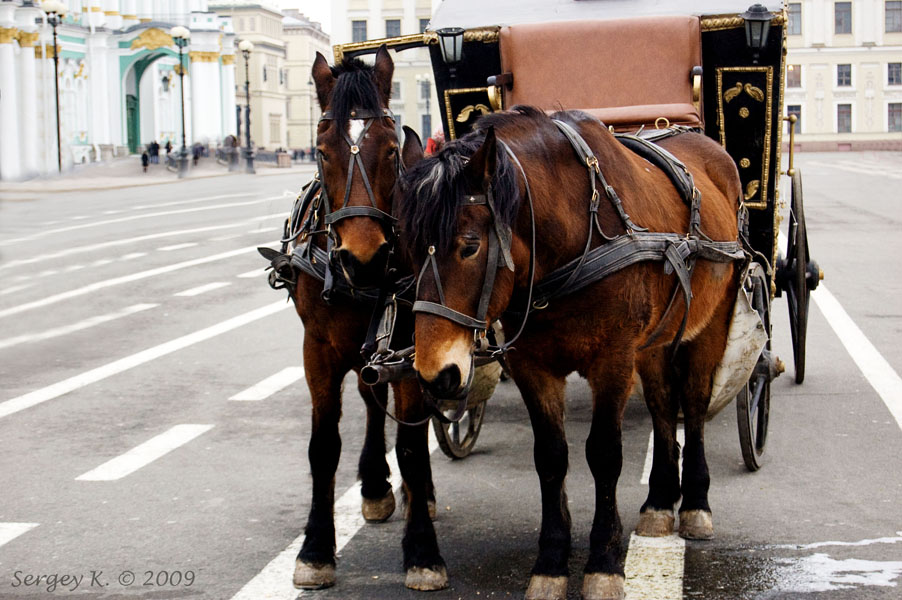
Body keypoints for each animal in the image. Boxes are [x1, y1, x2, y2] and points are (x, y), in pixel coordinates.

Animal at [280, 47, 446, 592]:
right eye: (321, 149)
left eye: (390, 151)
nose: (364, 257)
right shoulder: (317, 350)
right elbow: (323, 446)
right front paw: (315, 549)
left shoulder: (413, 350)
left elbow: (412, 446)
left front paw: (422, 553)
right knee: (372, 400)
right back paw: (375, 486)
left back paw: (417, 495)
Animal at [404, 109, 748, 600]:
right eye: (409, 248)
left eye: (469, 245)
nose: (436, 374)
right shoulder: (532, 365)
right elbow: (550, 457)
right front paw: (550, 563)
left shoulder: (613, 359)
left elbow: (604, 453)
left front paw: (604, 562)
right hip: (657, 342)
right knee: (664, 405)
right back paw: (661, 500)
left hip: (711, 322)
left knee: (695, 406)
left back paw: (695, 503)